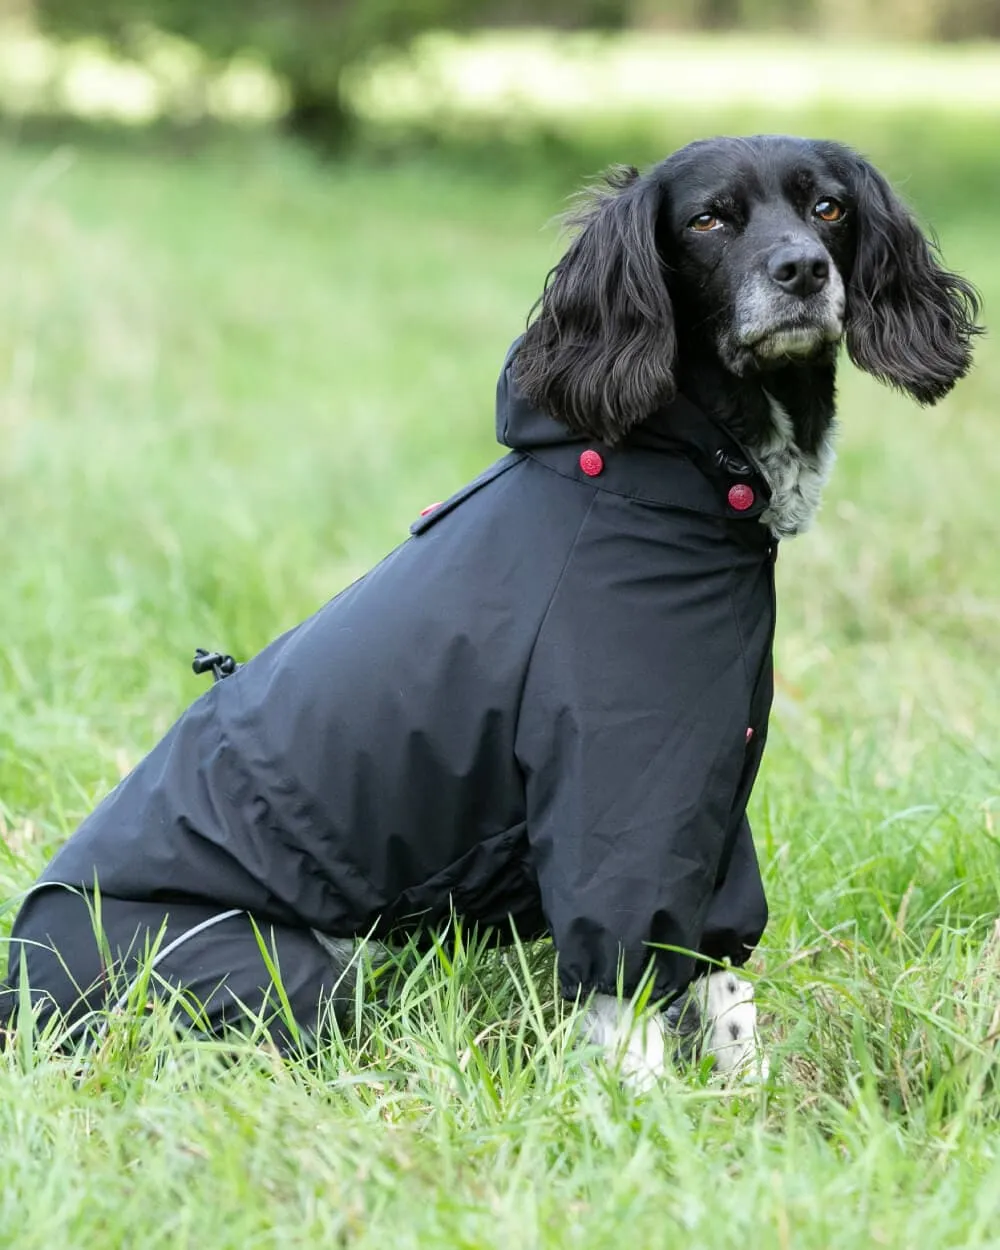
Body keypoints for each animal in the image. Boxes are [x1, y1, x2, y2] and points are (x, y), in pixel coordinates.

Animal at [0, 134, 980, 1085]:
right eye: (708, 220)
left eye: (829, 208)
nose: (802, 270)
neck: (657, 479)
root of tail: (20, 975)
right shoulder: (619, 786)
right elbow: (629, 996)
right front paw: (645, 1121)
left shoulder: (709, 782)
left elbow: (719, 980)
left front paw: (746, 1099)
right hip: (269, 968)